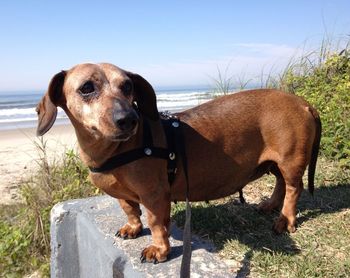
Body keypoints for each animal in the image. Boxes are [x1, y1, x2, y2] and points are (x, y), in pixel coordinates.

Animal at [37, 62, 322, 262]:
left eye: (127, 86)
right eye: (87, 88)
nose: (129, 119)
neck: (116, 149)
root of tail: (304, 103)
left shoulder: (154, 195)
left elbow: (156, 223)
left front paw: (159, 249)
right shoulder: (124, 195)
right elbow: (130, 209)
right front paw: (133, 228)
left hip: (290, 161)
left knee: (293, 189)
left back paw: (285, 220)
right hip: (276, 164)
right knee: (281, 185)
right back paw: (271, 205)